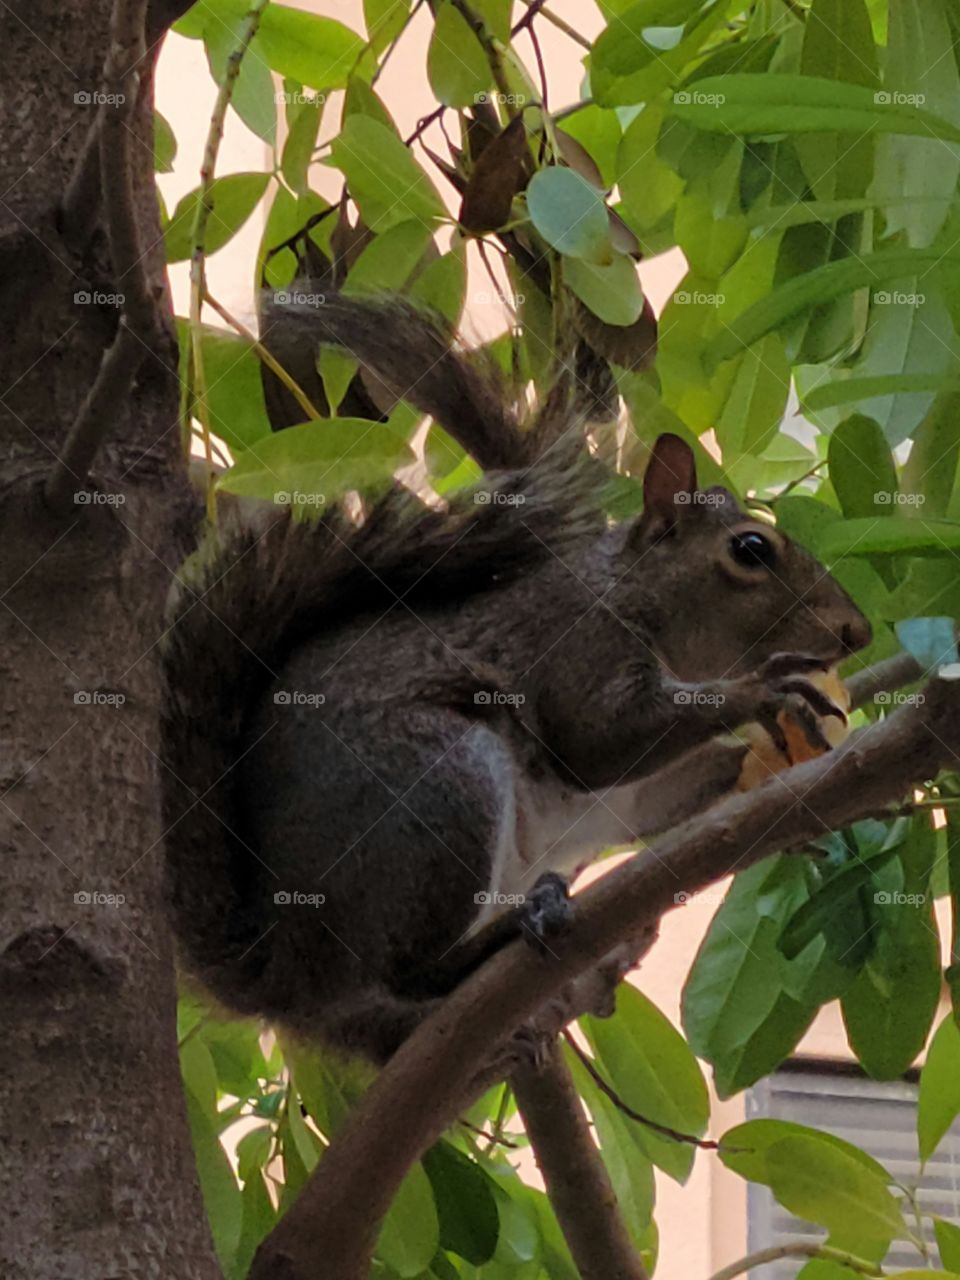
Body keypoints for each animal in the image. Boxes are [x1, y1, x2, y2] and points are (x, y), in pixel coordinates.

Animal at [161, 295, 872, 1065]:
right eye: (751, 550)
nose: (857, 632)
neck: (646, 609)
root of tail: (286, 974)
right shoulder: (576, 648)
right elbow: (596, 743)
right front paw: (763, 690)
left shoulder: (635, 799)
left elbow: (662, 792)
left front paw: (772, 769)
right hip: (437, 789)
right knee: (408, 971)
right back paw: (503, 936)